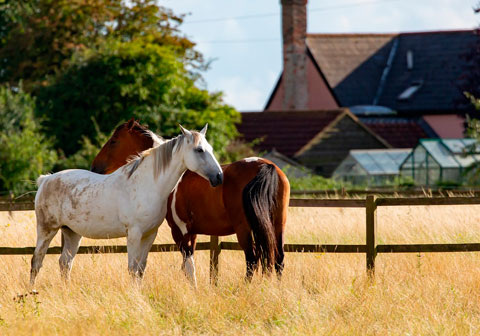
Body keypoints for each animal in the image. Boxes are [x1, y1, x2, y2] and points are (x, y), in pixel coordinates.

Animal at [31, 124, 222, 284]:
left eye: (211, 149)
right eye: (199, 150)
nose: (219, 177)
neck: (147, 184)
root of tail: (46, 180)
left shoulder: (149, 235)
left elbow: (141, 269)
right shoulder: (134, 234)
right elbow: (132, 269)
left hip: (72, 233)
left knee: (65, 263)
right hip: (46, 230)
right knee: (36, 261)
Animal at [92, 118, 290, 284]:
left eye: (113, 141)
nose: (95, 167)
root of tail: (265, 165)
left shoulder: (180, 232)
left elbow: (188, 266)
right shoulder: (192, 232)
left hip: (244, 228)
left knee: (252, 259)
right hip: (277, 224)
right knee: (278, 259)